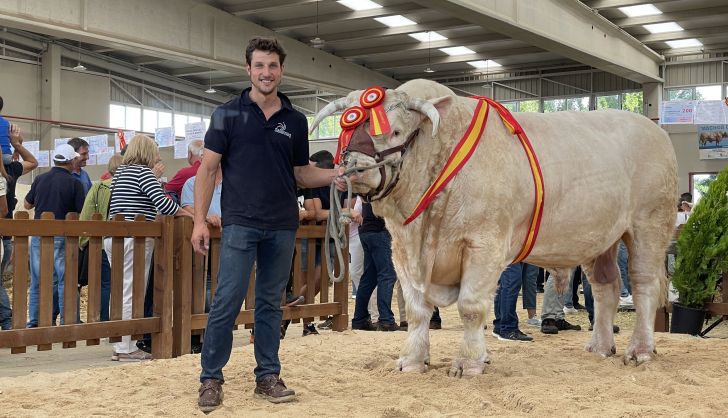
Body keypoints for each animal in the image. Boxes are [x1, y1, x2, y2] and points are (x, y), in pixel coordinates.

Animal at [312, 78, 676, 376]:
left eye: (396, 131)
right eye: (346, 129)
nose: (354, 167)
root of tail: (655, 130)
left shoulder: (485, 243)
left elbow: (471, 307)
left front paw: (470, 362)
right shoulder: (401, 247)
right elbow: (417, 309)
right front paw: (412, 360)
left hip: (649, 223)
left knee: (643, 284)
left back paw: (640, 350)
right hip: (599, 238)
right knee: (605, 287)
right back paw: (599, 347)